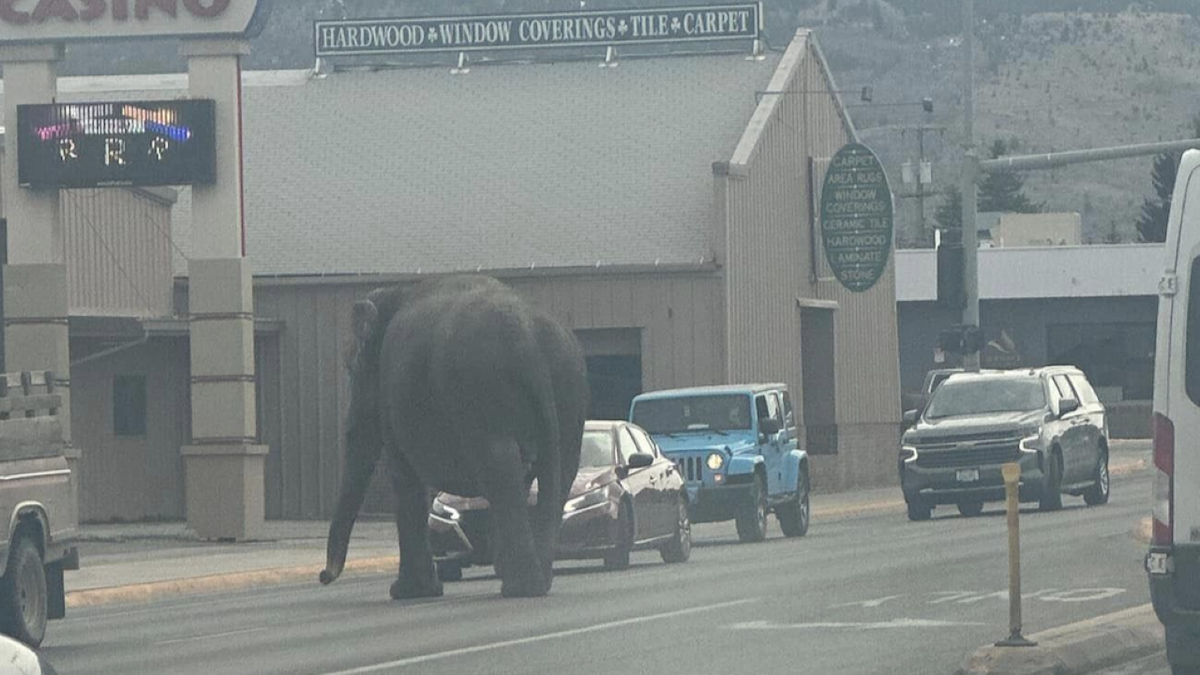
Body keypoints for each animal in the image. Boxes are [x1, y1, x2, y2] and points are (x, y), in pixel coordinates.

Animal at [316, 270, 583, 595]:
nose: (323, 575)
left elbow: (403, 475)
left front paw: (408, 592)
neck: (396, 291)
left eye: (352, 368)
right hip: (568, 386)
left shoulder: (393, 394)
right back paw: (536, 582)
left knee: (499, 466)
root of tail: (530, 342)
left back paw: (521, 587)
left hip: (481, 390)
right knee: (557, 472)